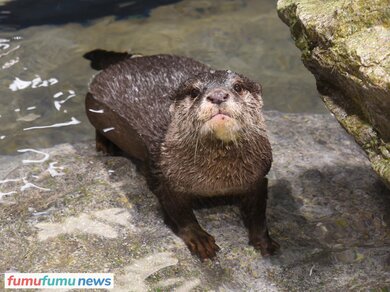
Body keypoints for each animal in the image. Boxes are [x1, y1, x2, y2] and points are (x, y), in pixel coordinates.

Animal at [84, 49, 280, 260]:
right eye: (194, 92)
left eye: (238, 86)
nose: (218, 95)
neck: (217, 180)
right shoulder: (166, 178)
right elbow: (180, 214)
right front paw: (200, 239)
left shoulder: (258, 177)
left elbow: (258, 214)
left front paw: (264, 242)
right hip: (94, 108)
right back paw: (105, 147)